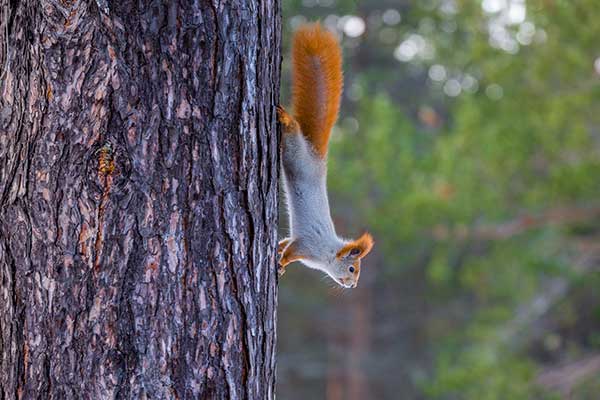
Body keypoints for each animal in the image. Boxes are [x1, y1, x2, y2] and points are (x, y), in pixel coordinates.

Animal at [278, 22, 372, 288]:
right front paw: (281, 263)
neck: (328, 253)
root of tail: (316, 156)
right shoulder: (307, 245)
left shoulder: (300, 243)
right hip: (296, 152)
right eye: (352, 268)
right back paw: (284, 118)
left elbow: (285, 243)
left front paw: (277, 251)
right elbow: (291, 251)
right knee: (293, 129)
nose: (353, 286)